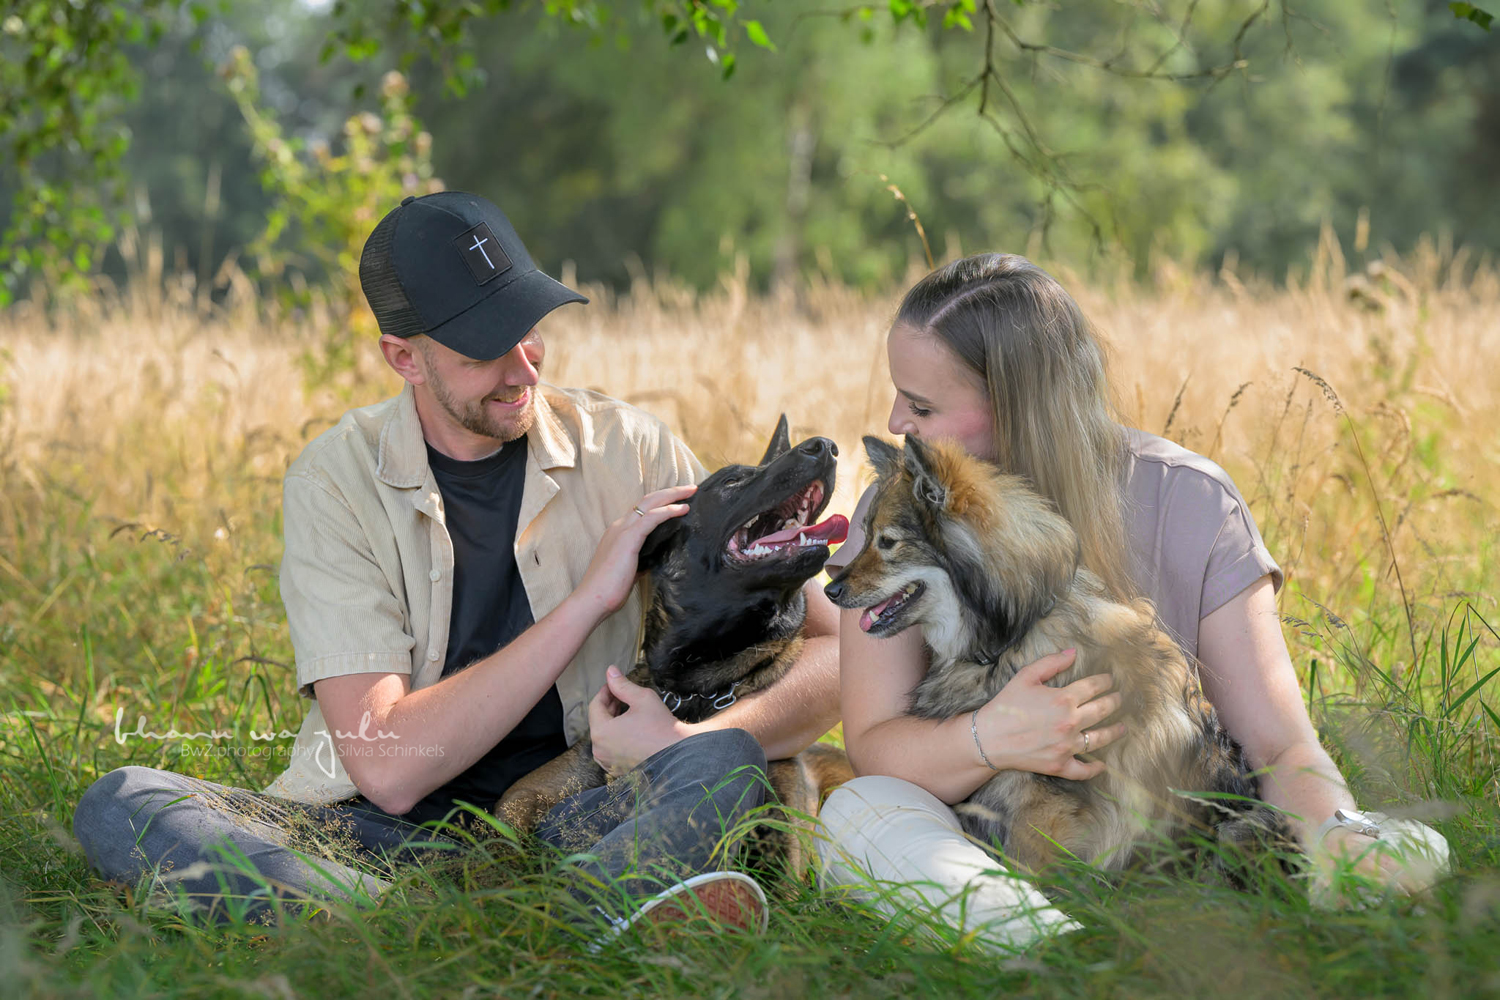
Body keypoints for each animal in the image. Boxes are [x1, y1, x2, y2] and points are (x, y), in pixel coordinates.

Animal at [822, 434, 1290, 881]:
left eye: (888, 542)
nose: (830, 589)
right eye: (865, 536)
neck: (1014, 636)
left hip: (1239, 829)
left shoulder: (1041, 808)